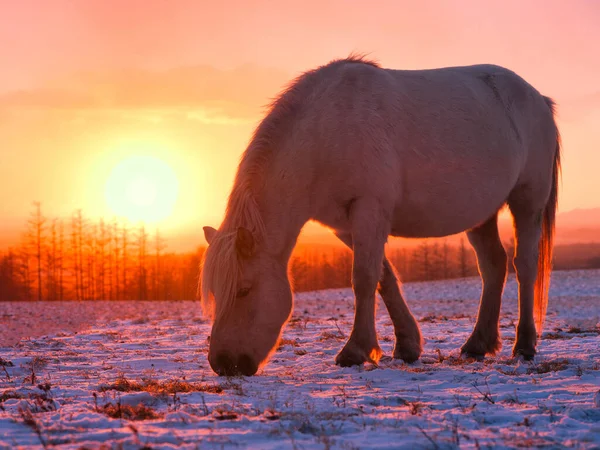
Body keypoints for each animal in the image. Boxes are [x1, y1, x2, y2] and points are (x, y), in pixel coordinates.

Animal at [199, 56, 560, 376]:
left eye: (244, 289)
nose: (224, 364)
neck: (327, 129)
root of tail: (538, 99)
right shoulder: (346, 225)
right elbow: (383, 277)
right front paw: (407, 346)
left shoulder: (369, 209)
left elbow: (363, 279)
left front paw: (354, 351)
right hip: (481, 214)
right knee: (493, 266)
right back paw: (477, 345)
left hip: (527, 201)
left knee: (524, 266)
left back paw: (524, 345)